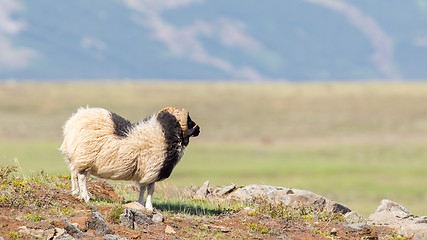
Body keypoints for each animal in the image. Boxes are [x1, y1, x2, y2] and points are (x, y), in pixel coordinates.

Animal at [59, 107, 201, 210]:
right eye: (189, 120)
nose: (198, 129)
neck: (164, 134)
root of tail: (72, 123)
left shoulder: (144, 172)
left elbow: (142, 188)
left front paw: (140, 203)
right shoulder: (152, 170)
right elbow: (151, 190)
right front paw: (149, 207)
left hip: (77, 157)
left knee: (74, 174)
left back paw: (76, 193)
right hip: (84, 157)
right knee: (82, 177)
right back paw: (85, 196)